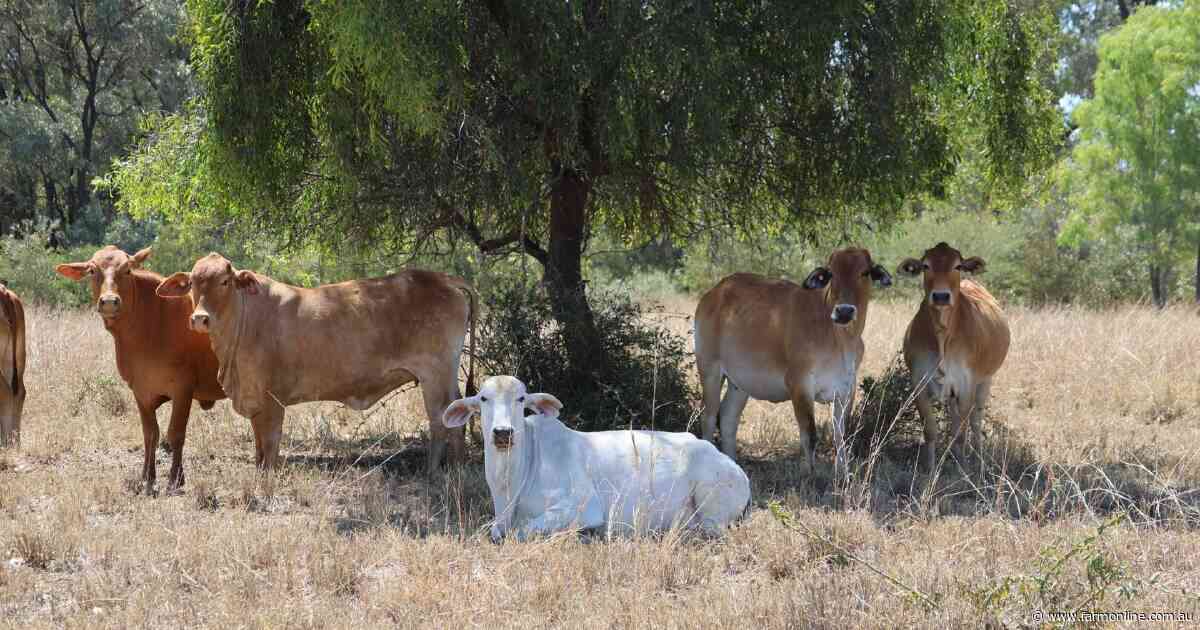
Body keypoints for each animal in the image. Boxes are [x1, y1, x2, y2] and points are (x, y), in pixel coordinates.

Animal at [55, 247, 224, 492]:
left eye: (127, 270)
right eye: (92, 270)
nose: (109, 301)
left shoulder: (183, 390)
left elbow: (175, 434)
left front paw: (175, 479)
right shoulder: (141, 391)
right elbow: (150, 433)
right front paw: (147, 476)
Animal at [156, 253, 476, 474]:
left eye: (224, 282)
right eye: (192, 283)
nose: (200, 319)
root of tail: (445, 279)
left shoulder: (272, 400)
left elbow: (270, 444)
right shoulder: (255, 398)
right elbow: (258, 444)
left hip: (435, 375)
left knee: (440, 418)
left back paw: (437, 471)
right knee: (456, 412)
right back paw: (457, 467)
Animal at [443, 375, 750, 541]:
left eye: (521, 399)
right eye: (483, 399)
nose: (503, 433)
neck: (510, 486)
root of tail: (734, 468)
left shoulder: (583, 505)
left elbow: (522, 531)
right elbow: (497, 532)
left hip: (712, 512)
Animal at [693, 248, 893, 477]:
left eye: (865, 272)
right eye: (831, 274)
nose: (844, 311)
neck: (839, 338)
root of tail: (716, 292)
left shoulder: (846, 391)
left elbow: (841, 436)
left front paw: (843, 474)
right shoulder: (800, 386)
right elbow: (810, 436)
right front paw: (810, 476)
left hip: (739, 384)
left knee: (727, 418)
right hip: (710, 370)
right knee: (708, 417)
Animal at [897, 242, 1010, 471]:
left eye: (957, 266)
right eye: (925, 265)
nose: (941, 296)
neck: (942, 335)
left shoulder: (967, 385)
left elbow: (961, 433)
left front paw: (962, 470)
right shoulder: (919, 384)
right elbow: (930, 430)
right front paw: (931, 469)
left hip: (985, 381)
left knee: (975, 421)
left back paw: (978, 460)